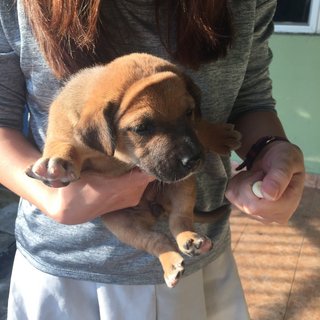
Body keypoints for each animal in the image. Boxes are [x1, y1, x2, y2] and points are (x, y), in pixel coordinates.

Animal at [26, 53, 240, 288]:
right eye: (142, 128)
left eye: (189, 112)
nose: (193, 160)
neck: (117, 155)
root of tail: (157, 207)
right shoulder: (63, 128)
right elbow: (61, 144)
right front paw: (55, 165)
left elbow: (199, 126)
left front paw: (216, 134)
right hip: (122, 224)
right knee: (156, 239)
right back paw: (171, 261)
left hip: (183, 185)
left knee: (179, 220)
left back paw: (190, 239)